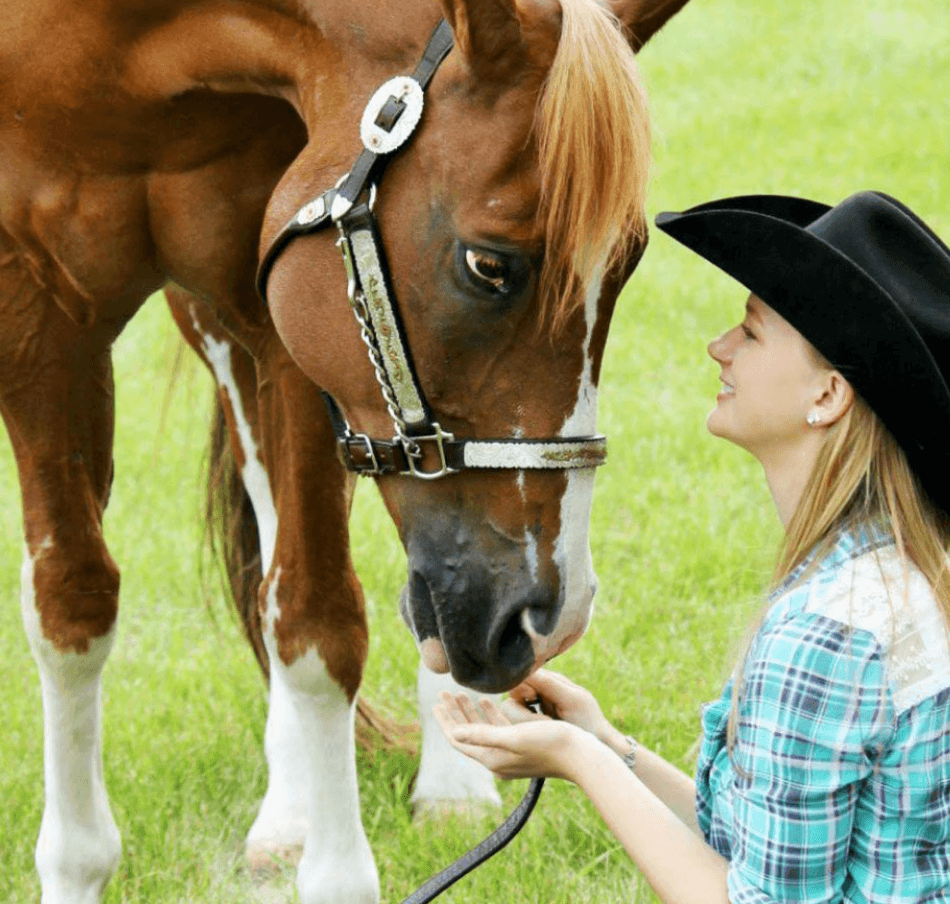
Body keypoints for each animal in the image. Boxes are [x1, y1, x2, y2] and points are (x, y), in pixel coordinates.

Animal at [0, 0, 690, 902]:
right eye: (490, 265)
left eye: (628, 264)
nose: (549, 616)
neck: (111, 50)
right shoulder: (36, 316)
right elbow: (72, 604)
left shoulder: (280, 312)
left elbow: (314, 614)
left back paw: (446, 780)